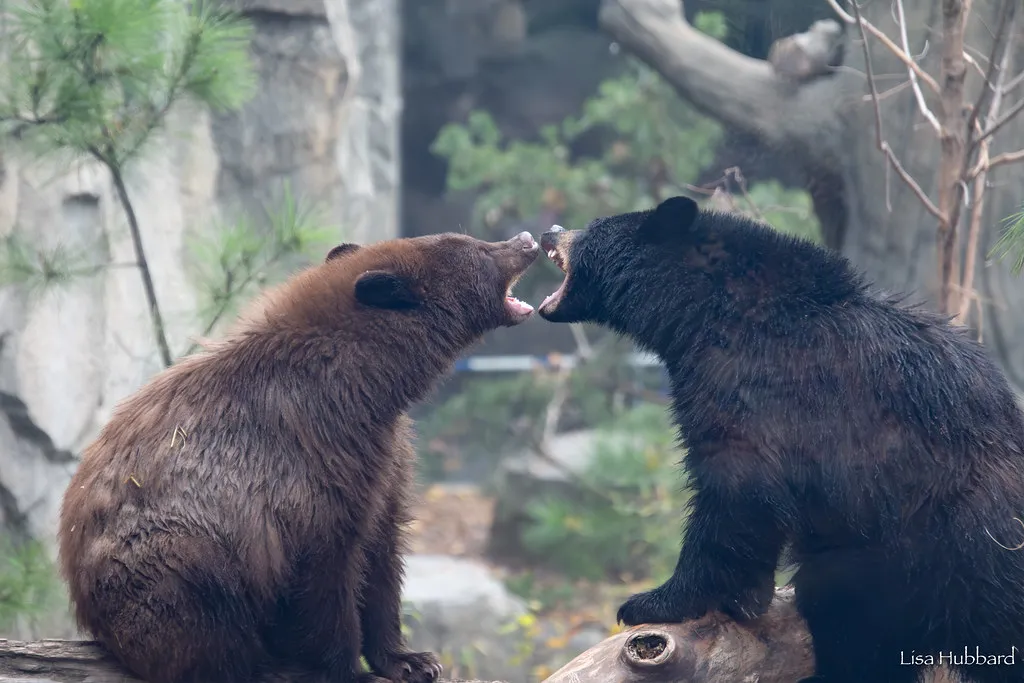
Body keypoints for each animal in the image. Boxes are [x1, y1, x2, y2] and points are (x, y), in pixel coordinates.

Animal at [58, 230, 540, 683]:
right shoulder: (313, 456)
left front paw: (409, 659)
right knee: (202, 607)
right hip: (164, 560)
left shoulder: (383, 456)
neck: (365, 385)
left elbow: (383, 553)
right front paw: (347, 668)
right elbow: (325, 571)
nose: (526, 241)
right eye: (474, 248)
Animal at [536, 196, 1024, 683]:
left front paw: (656, 600)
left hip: (934, 556)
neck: (707, 311)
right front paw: (745, 597)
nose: (549, 231)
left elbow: (738, 490)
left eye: (594, 225)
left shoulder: (754, 386)